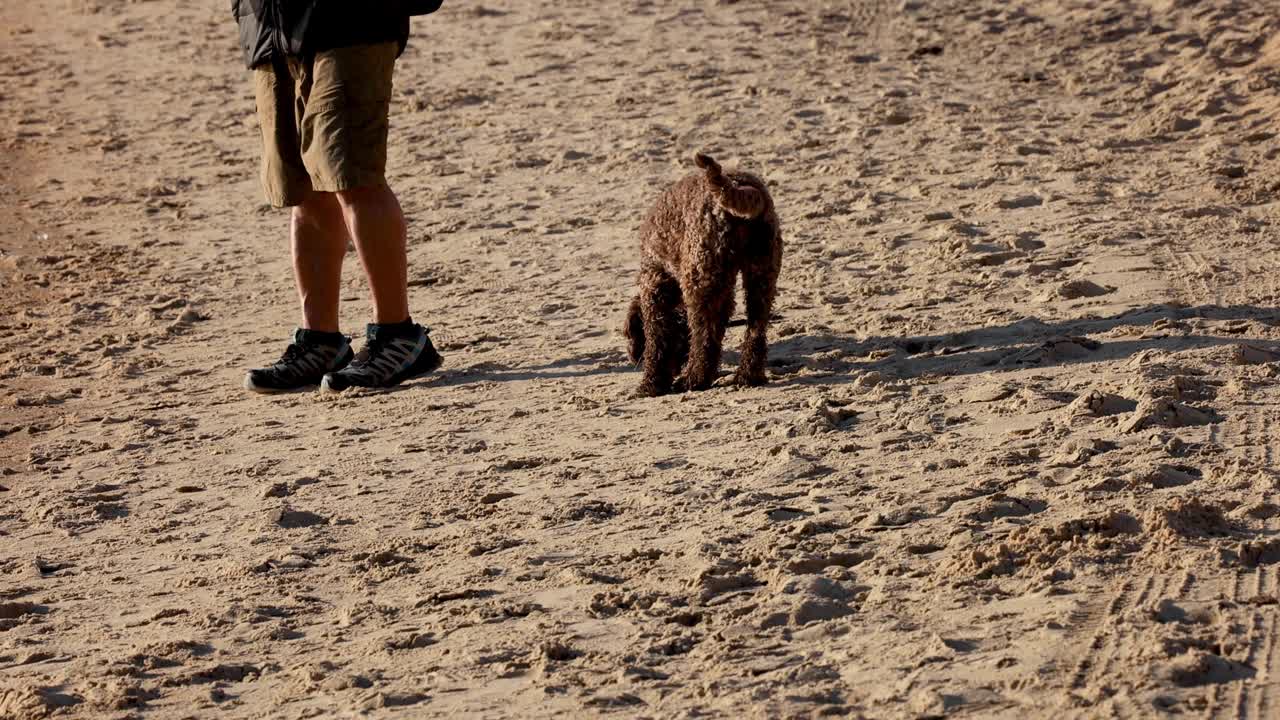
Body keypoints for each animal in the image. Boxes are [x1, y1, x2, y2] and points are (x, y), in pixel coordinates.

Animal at [622, 151, 778, 394]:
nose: (632, 358)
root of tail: (743, 188)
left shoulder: (654, 286)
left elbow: (657, 339)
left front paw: (651, 384)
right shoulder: (724, 291)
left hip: (700, 280)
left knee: (703, 337)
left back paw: (693, 379)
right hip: (762, 273)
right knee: (755, 331)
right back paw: (747, 376)